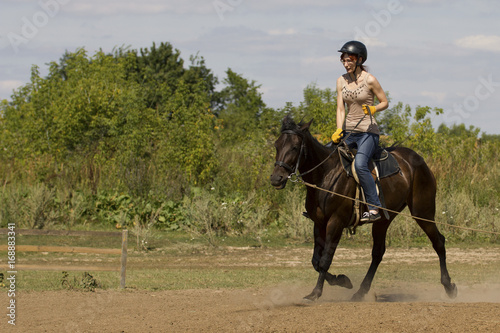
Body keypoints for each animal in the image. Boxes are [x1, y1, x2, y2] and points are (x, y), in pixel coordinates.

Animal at [270, 116, 458, 300]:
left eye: (294, 147)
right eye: (277, 145)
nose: (276, 178)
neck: (326, 174)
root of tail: (418, 160)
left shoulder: (335, 223)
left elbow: (325, 260)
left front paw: (317, 292)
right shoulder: (319, 223)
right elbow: (316, 260)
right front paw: (342, 280)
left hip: (423, 213)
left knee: (439, 242)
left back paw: (449, 286)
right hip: (384, 220)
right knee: (378, 253)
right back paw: (361, 291)